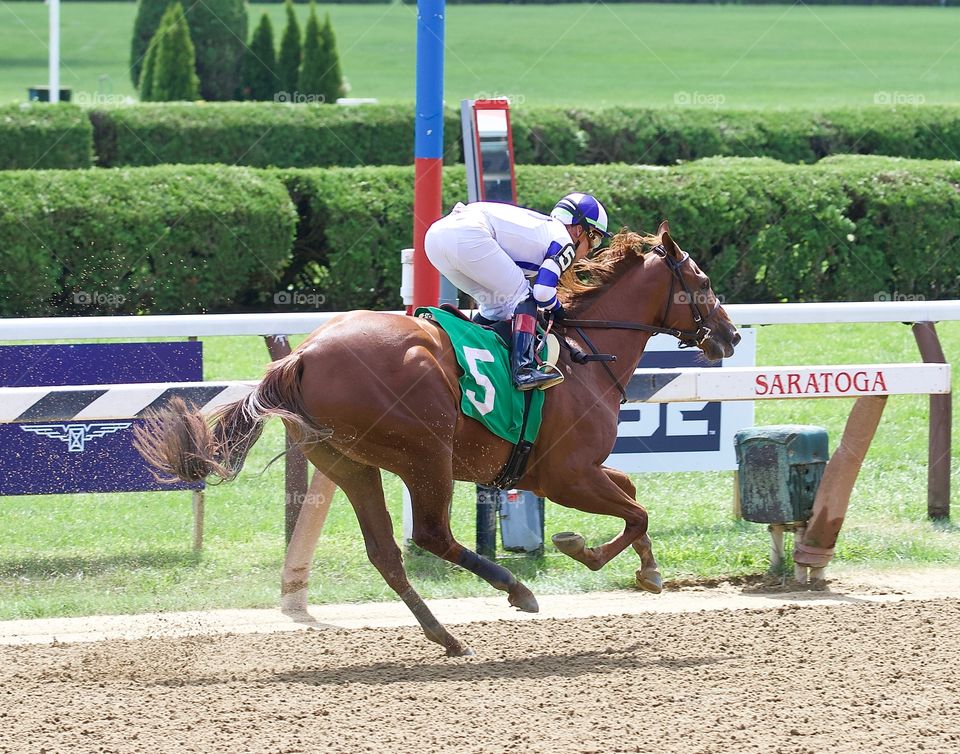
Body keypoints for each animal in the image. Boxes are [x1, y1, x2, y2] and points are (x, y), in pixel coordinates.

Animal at [135, 220, 740, 656]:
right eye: (704, 284)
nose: (731, 336)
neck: (584, 353)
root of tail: (301, 356)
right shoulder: (566, 474)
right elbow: (636, 511)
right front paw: (585, 550)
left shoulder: (570, 470)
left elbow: (632, 493)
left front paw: (648, 569)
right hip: (427, 453)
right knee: (430, 534)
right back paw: (515, 590)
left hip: (348, 462)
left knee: (385, 552)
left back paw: (445, 634)